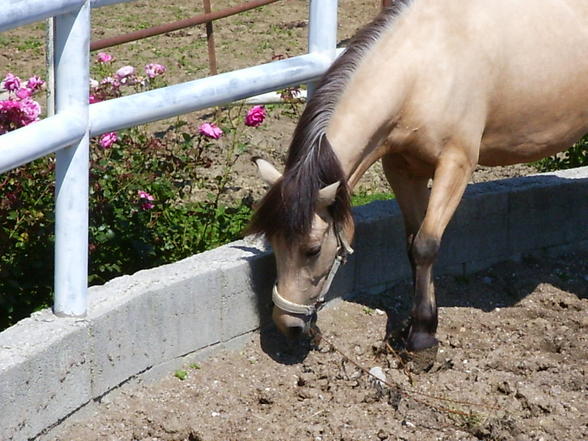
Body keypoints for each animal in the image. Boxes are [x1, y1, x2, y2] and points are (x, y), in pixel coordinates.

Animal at [247, 0, 588, 350]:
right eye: (274, 243)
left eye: (312, 249)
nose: (287, 325)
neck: (426, 68)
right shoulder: (402, 170)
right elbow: (412, 245)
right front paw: (414, 325)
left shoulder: (456, 165)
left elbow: (427, 244)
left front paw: (422, 336)